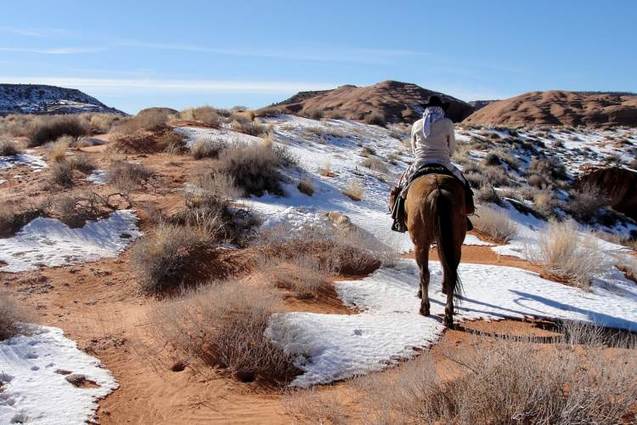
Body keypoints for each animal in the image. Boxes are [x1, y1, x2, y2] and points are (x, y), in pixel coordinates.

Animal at [390, 174, 464, 326]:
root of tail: (438, 191)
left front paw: (419, 292)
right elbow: (444, 264)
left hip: (421, 243)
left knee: (424, 273)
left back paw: (424, 307)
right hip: (455, 243)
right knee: (451, 273)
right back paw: (448, 315)